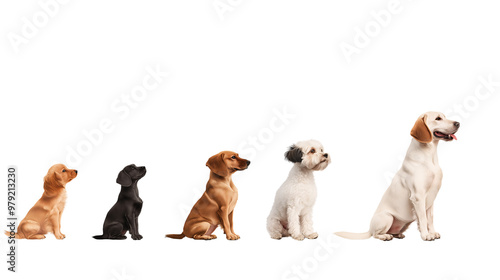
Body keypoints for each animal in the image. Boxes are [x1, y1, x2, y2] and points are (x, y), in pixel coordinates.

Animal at [338, 111, 458, 241]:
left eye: (444, 117)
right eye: (438, 118)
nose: (458, 123)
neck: (430, 157)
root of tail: (369, 229)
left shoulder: (431, 198)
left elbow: (430, 219)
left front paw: (432, 232)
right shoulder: (418, 196)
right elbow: (423, 219)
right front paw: (426, 235)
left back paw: (398, 234)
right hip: (387, 217)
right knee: (376, 235)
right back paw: (386, 236)